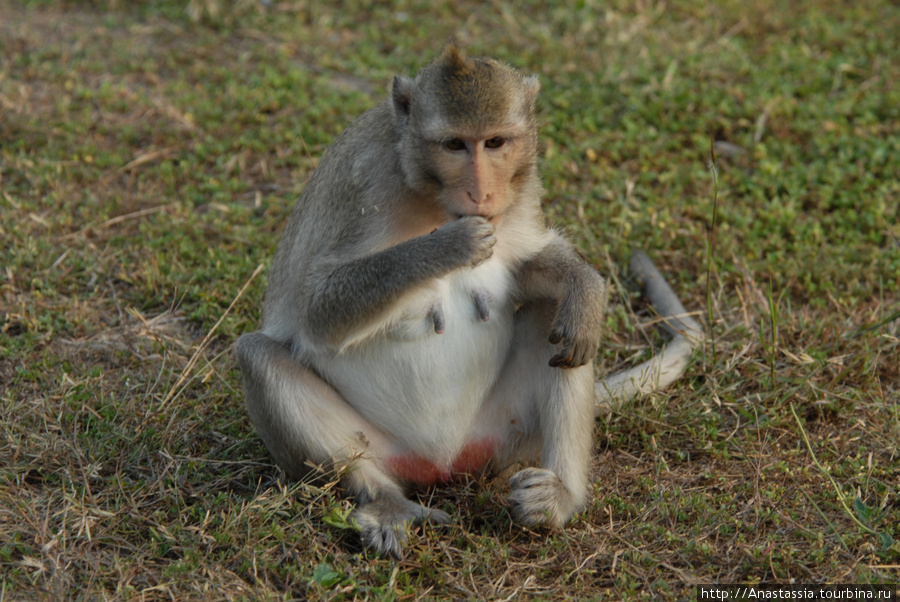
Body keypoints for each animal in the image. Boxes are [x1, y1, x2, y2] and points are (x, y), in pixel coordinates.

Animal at [234, 44, 704, 556]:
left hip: (502, 437)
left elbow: (529, 268)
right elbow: (316, 310)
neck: (428, 194)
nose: (481, 191)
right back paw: (383, 498)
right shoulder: (363, 182)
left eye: (495, 142)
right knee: (259, 356)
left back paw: (559, 496)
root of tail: (442, 464)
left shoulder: (522, 185)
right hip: (379, 449)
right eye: (455, 145)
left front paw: (584, 286)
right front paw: (447, 245)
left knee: (553, 320)